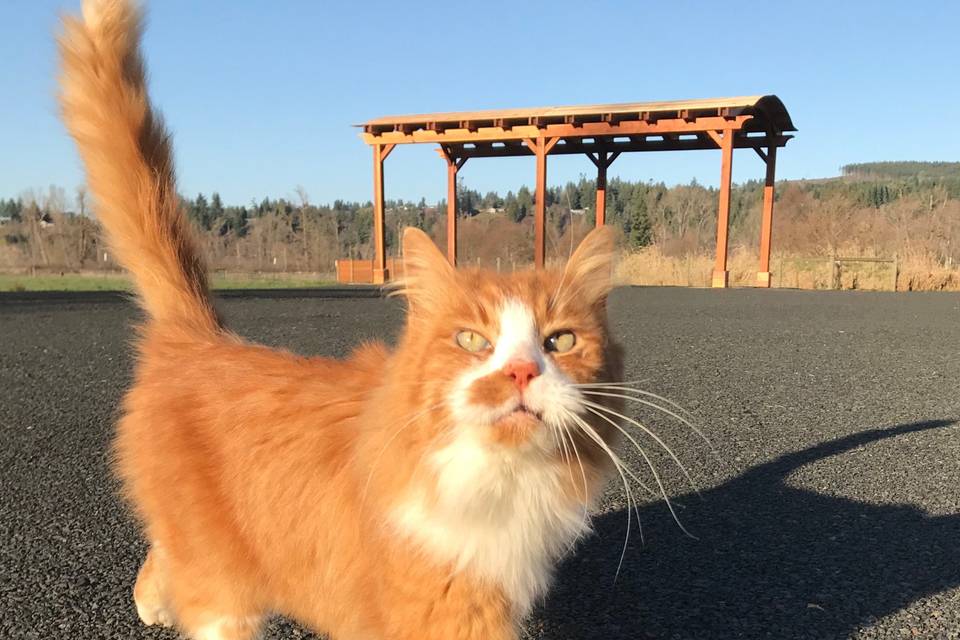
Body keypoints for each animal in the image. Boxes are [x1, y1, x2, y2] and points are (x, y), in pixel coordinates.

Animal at [62, 2, 632, 636]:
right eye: (471, 340)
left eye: (561, 341)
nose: (521, 372)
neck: (496, 483)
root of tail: (202, 337)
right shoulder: (439, 608)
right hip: (226, 592)